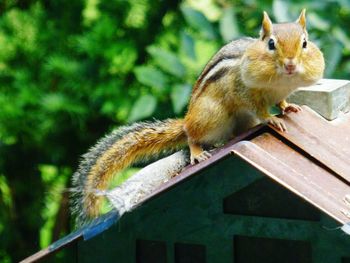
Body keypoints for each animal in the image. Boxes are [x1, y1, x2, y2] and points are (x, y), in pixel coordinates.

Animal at [69, 9, 324, 226]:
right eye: (271, 44)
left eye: (304, 43)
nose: (290, 64)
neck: (281, 81)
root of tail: (187, 119)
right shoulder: (243, 89)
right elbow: (258, 108)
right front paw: (272, 119)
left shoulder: (281, 91)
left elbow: (281, 101)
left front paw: (289, 107)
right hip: (211, 116)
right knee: (192, 135)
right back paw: (197, 152)